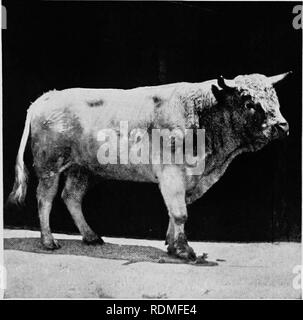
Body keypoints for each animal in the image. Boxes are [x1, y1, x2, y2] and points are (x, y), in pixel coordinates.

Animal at [8, 72, 290, 260]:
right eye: (249, 102)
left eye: (275, 98)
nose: (282, 126)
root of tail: (47, 96)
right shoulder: (172, 173)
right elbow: (180, 213)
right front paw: (185, 250)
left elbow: (175, 212)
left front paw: (172, 246)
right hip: (49, 165)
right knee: (45, 198)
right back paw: (48, 241)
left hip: (82, 168)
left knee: (71, 197)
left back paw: (91, 236)